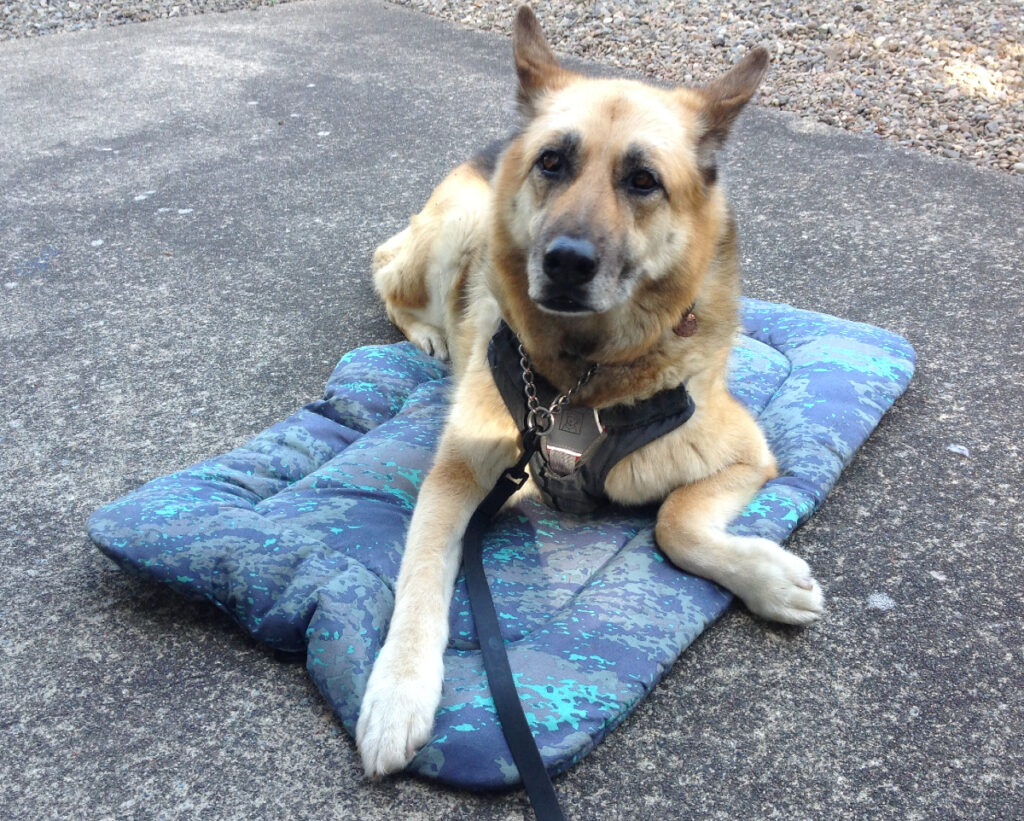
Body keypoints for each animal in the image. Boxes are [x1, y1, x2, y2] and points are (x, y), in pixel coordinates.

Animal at [358, 6, 823, 773]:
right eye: (553, 162)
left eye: (643, 179)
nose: (566, 263)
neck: (581, 378)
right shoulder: (456, 476)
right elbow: (421, 577)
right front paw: (397, 692)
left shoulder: (747, 454)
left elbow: (674, 522)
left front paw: (765, 577)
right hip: (460, 229)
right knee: (388, 270)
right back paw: (428, 334)